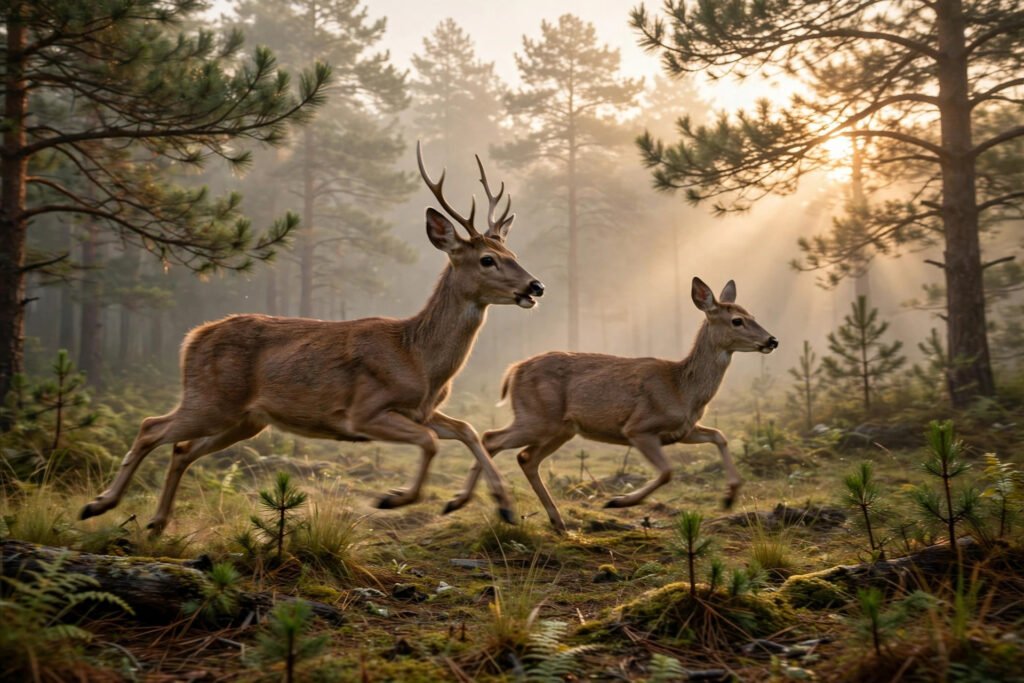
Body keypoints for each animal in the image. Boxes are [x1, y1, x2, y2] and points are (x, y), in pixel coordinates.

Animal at [79, 142, 546, 535]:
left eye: (514, 255)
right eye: (487, 260)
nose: (536, 286)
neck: (418, 358)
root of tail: (191, 338)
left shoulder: (422, 410)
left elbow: (467, 430)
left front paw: (496, 505)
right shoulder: (365, 410)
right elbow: (431, 443)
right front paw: (394, 498)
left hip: (245, 419)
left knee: (181, 449)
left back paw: (156, 523)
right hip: (211, 398)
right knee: (150, 427)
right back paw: (98, 505)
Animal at [441, 277, 777, 533]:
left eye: (753, 315)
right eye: (737, 321)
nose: (772, 340)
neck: (683, 388)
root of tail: (513, 371)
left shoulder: (684, 430)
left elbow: (719, 436)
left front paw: (730, 496)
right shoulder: (639, 427)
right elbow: (668, 471)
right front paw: (619, 501)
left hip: (561, 428)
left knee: (526, 458)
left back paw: (556, 522)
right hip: (538, 417)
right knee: (491, 438)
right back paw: (473, 504)